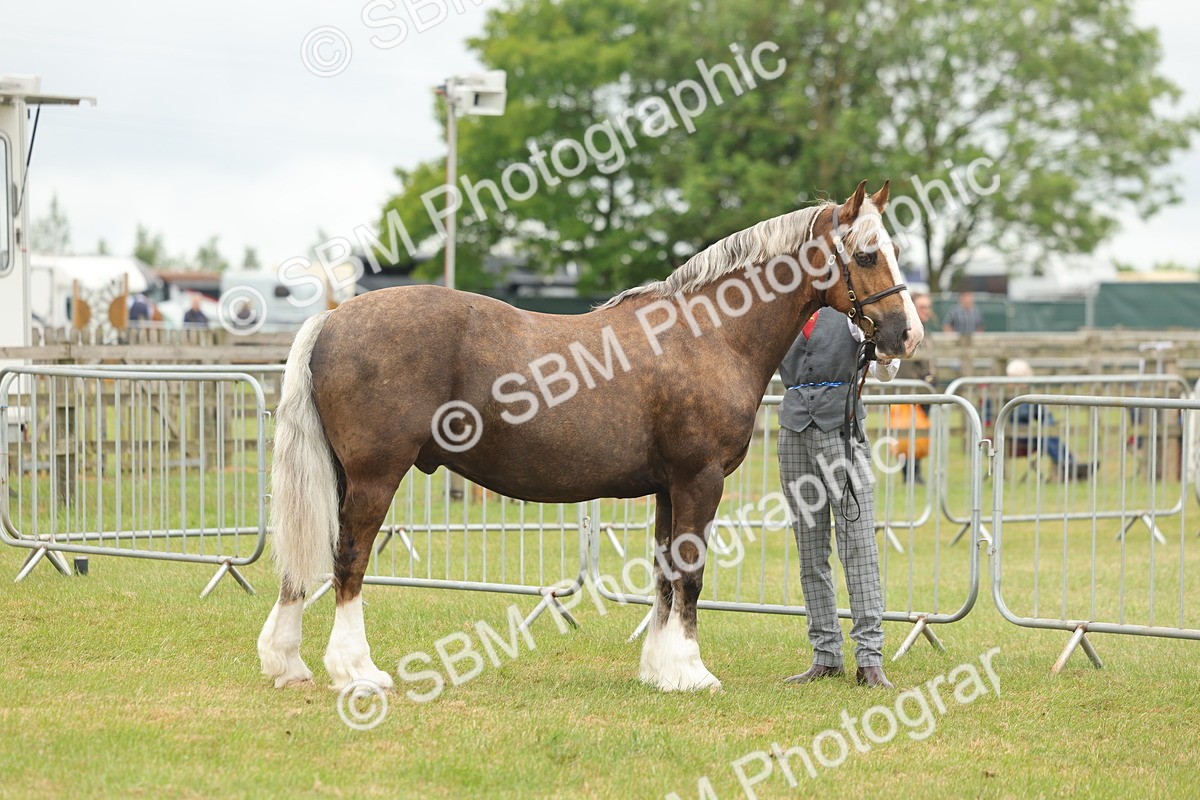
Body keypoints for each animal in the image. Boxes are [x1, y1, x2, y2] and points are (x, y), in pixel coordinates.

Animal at [257, 180, 922, 693]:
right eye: (867, 255)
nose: (905, 335)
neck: (707, 334)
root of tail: (332, 318)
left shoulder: (668, 487)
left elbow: (664, 571)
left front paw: (660, 670)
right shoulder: (700, 480)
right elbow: (691, 573)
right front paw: (692, 672)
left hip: (338, 473)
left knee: (307, 560)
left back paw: (288, 663)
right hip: (375, 475)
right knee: (349, 559)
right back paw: (356, 671)